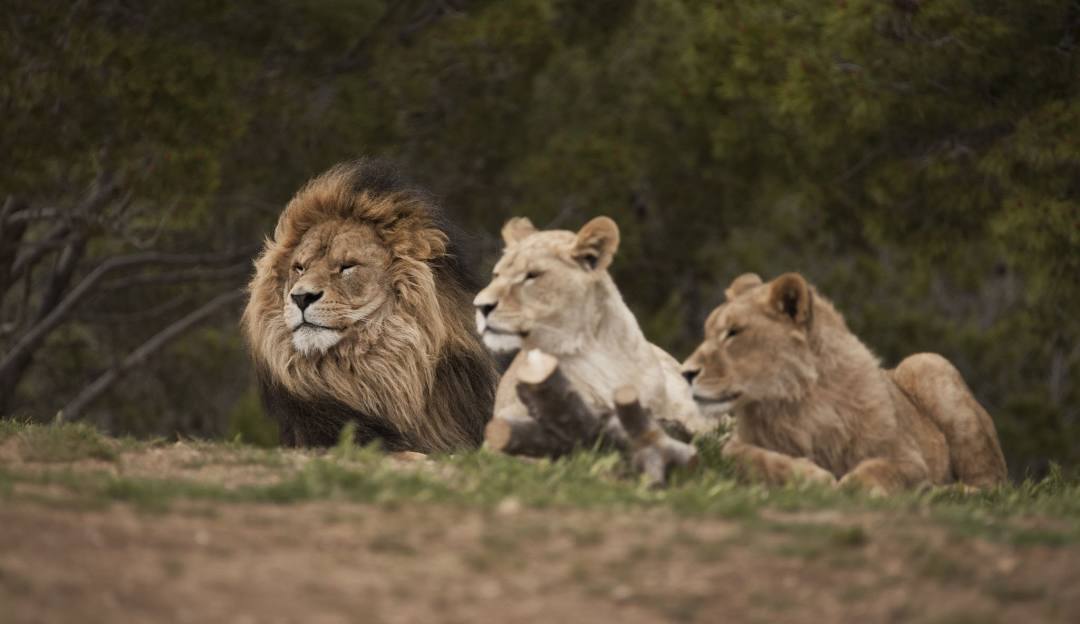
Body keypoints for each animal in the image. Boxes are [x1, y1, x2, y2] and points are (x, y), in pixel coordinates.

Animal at [682, 272, 1002, 490]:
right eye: (708, 333)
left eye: (734, 333)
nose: (686, 373)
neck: (799, 405)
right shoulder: (735, 446)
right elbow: (753, 459)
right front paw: (814, 477)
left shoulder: (910, 459)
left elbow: (881, 468)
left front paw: (850, 486)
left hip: (927, 362)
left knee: (992, 484)